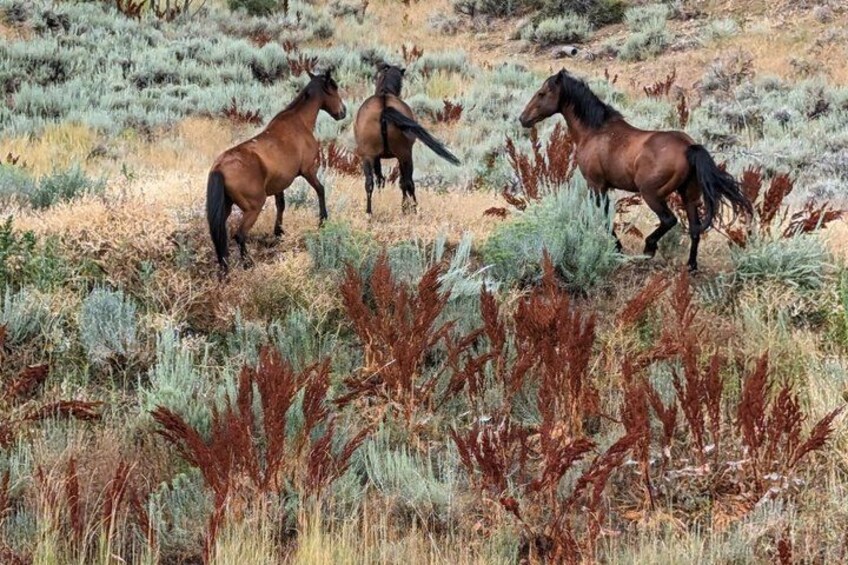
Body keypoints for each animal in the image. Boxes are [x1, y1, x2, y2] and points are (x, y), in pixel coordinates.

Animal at [206, 69, 346, 277]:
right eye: (334, 88)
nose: (343, 112)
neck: (299, 122)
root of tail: (219, 168)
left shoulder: (280, 183)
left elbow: (281, 205)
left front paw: (278, 232)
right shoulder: (308, 170)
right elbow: (320, 190)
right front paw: (323, 221)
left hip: (226, 207)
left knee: (220, 235)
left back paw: (224, 267)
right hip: (253, 207)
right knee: (239, 235)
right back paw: (247, 263)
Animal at [354, 62, 461, 218]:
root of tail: (384, 108)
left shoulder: (377, 157)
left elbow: (382, 179)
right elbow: (399, 181)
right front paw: (405, 207)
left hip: (369, 155)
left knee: (370, 182)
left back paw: (369, 212)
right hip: (404, 155)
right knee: (408, 182)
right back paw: (414, 209)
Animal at [518, 70, 753, 272]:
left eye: (541, 93)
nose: (523, 118)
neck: (594, 131)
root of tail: (689, 147)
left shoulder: (596, 185)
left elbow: (604, 217)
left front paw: (618, 249)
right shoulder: (604, 187)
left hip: (651, 194)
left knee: (670, 220)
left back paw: (649, 248)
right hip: (689, 195)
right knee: (695, 229)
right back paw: (691, 266)